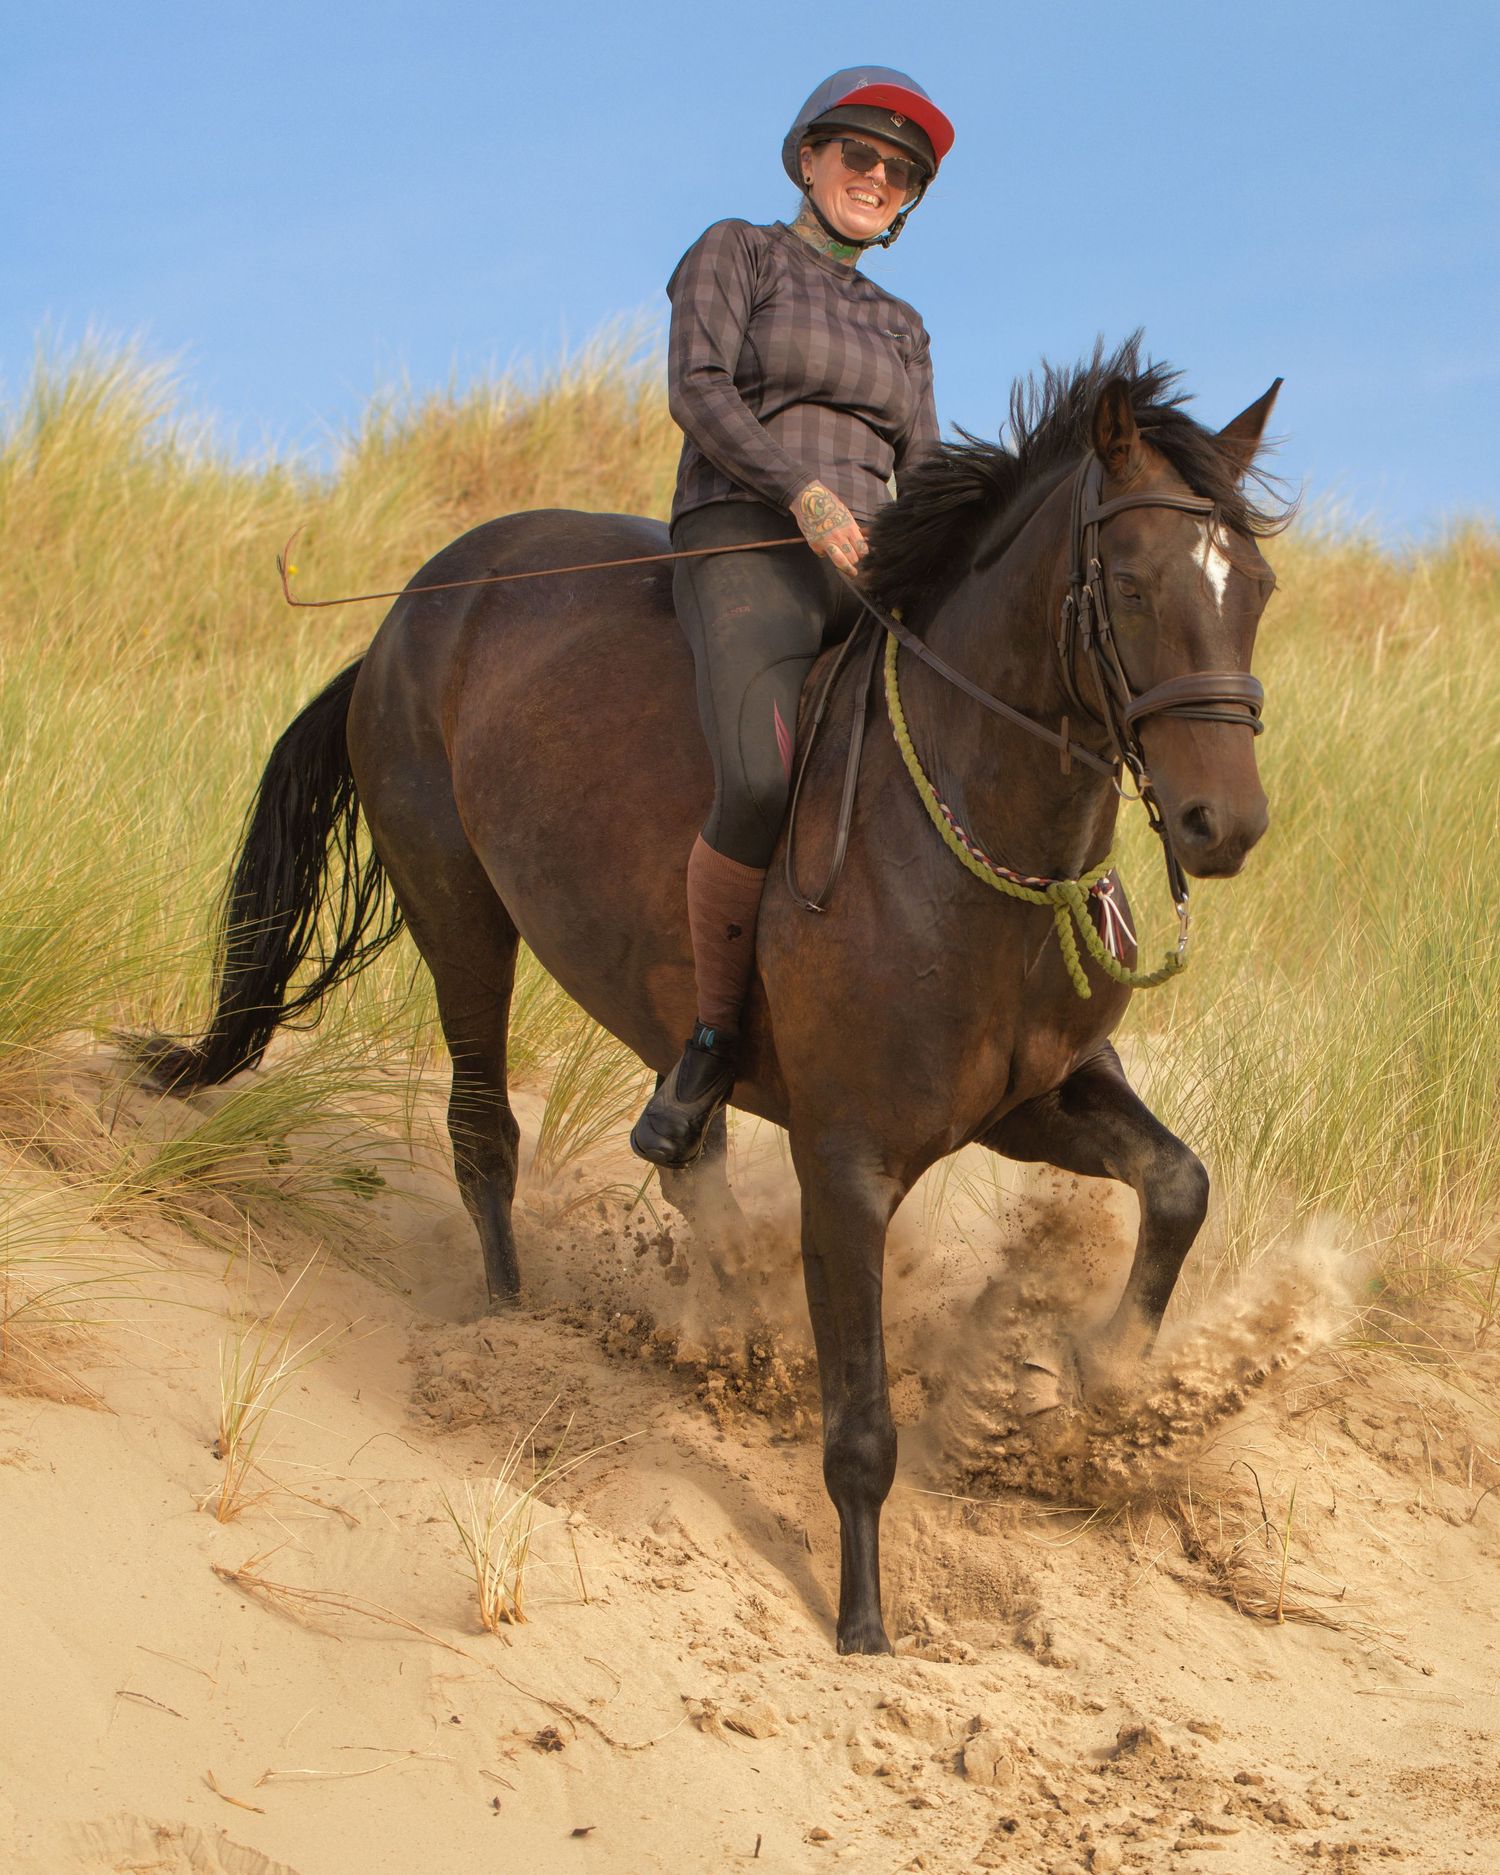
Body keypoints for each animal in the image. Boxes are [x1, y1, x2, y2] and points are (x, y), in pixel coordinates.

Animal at [144, 341, 1288, 1655]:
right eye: (1135, 584)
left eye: (1254, 588)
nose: (1223, 826)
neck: (965, 834)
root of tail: (408, 613)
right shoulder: (847, 1164)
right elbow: (861, 1428)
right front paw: (862, 1625)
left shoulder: (1036, 1102)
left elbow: (1180, 1183)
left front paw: (1106, 1380)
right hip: (461, 919)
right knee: (484, 1131)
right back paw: (510, 1329)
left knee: (686, 1162)